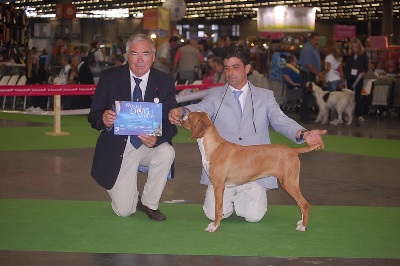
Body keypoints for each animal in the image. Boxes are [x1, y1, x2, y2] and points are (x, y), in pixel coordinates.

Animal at [181, 111, 322, 232]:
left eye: (189, 117)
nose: (180, 118)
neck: (214, 147)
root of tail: (292, 150)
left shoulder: (219, 186)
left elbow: (217, 209)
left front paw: (214, 227)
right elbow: (220, 210)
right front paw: (216, 224)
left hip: (289, 183)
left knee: (305, 204)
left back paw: (303, 227)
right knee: (301, 204)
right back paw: (301, 222)